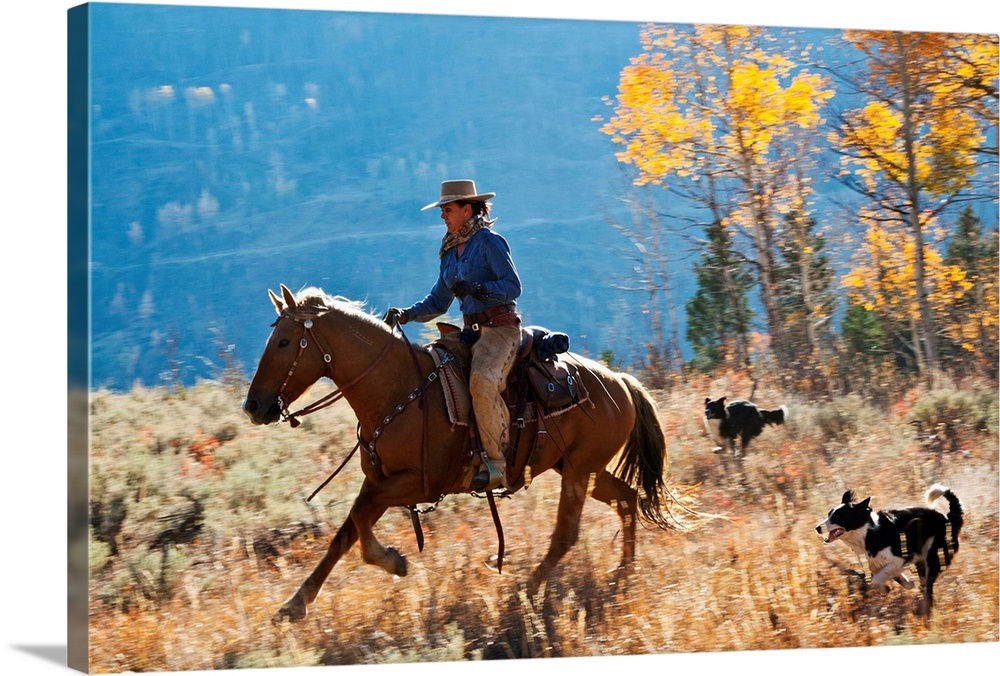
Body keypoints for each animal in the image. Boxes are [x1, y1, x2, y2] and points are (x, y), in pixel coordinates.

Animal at [246, 284, 692, 624]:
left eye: (284, 341)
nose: (253, 406)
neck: (398, 390)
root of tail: (620, 382)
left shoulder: (416, 484)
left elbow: (358, 523)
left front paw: (393, 560)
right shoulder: (379, 481)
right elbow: (344, 534)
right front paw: (293, 605)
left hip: (579, 472)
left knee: (566, 534)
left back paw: (524, 591)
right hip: (580, 469)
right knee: (627, 499)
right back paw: (623, 574)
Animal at [816, 486, 964, 612]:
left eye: (838, 516)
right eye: (829, 514)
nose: (817, 528)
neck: (867, 532)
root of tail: (949, 519)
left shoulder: (898, 560)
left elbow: (877, 579)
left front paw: (885, 588)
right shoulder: (877, 564)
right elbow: (894, 577)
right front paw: (907, 583)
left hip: (932, 558)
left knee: (928, 588)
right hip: (922, 561)